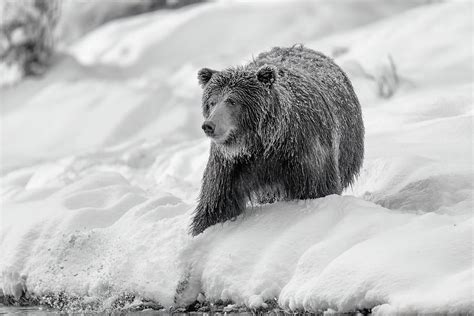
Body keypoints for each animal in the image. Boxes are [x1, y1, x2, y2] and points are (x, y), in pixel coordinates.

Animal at [191, 45, 364, 236]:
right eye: (211, 102)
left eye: (232, 101)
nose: (209, 125)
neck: (262, 144)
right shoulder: (230, 165)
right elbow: (217, 204)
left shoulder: (305, 151)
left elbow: (317, 188)